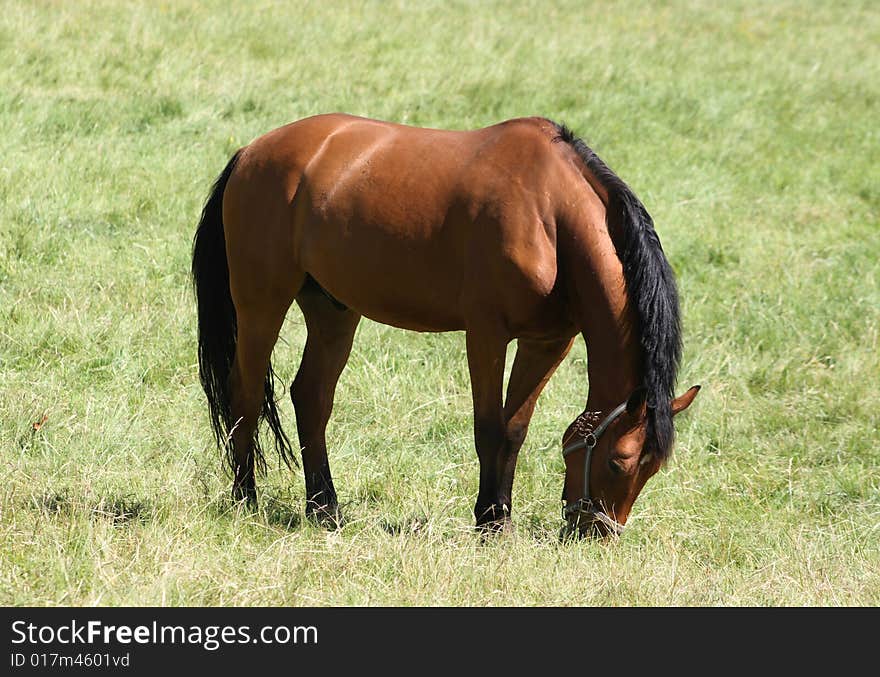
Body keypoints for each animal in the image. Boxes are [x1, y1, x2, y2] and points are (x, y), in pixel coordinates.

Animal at [192, 115, 700, 540]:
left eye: (652, 470)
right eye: (619, 463)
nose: (597, 534)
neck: (550, 213)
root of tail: (251, 152)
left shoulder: (546, 342)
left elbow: (515, 429)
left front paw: (499, 516)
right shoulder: (486, 334)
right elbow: (489, 427)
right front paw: (489, 522)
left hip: (333, 312)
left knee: (311, 397)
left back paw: (324, 508)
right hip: (261, 305)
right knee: (246, 394)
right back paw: (246, 499)